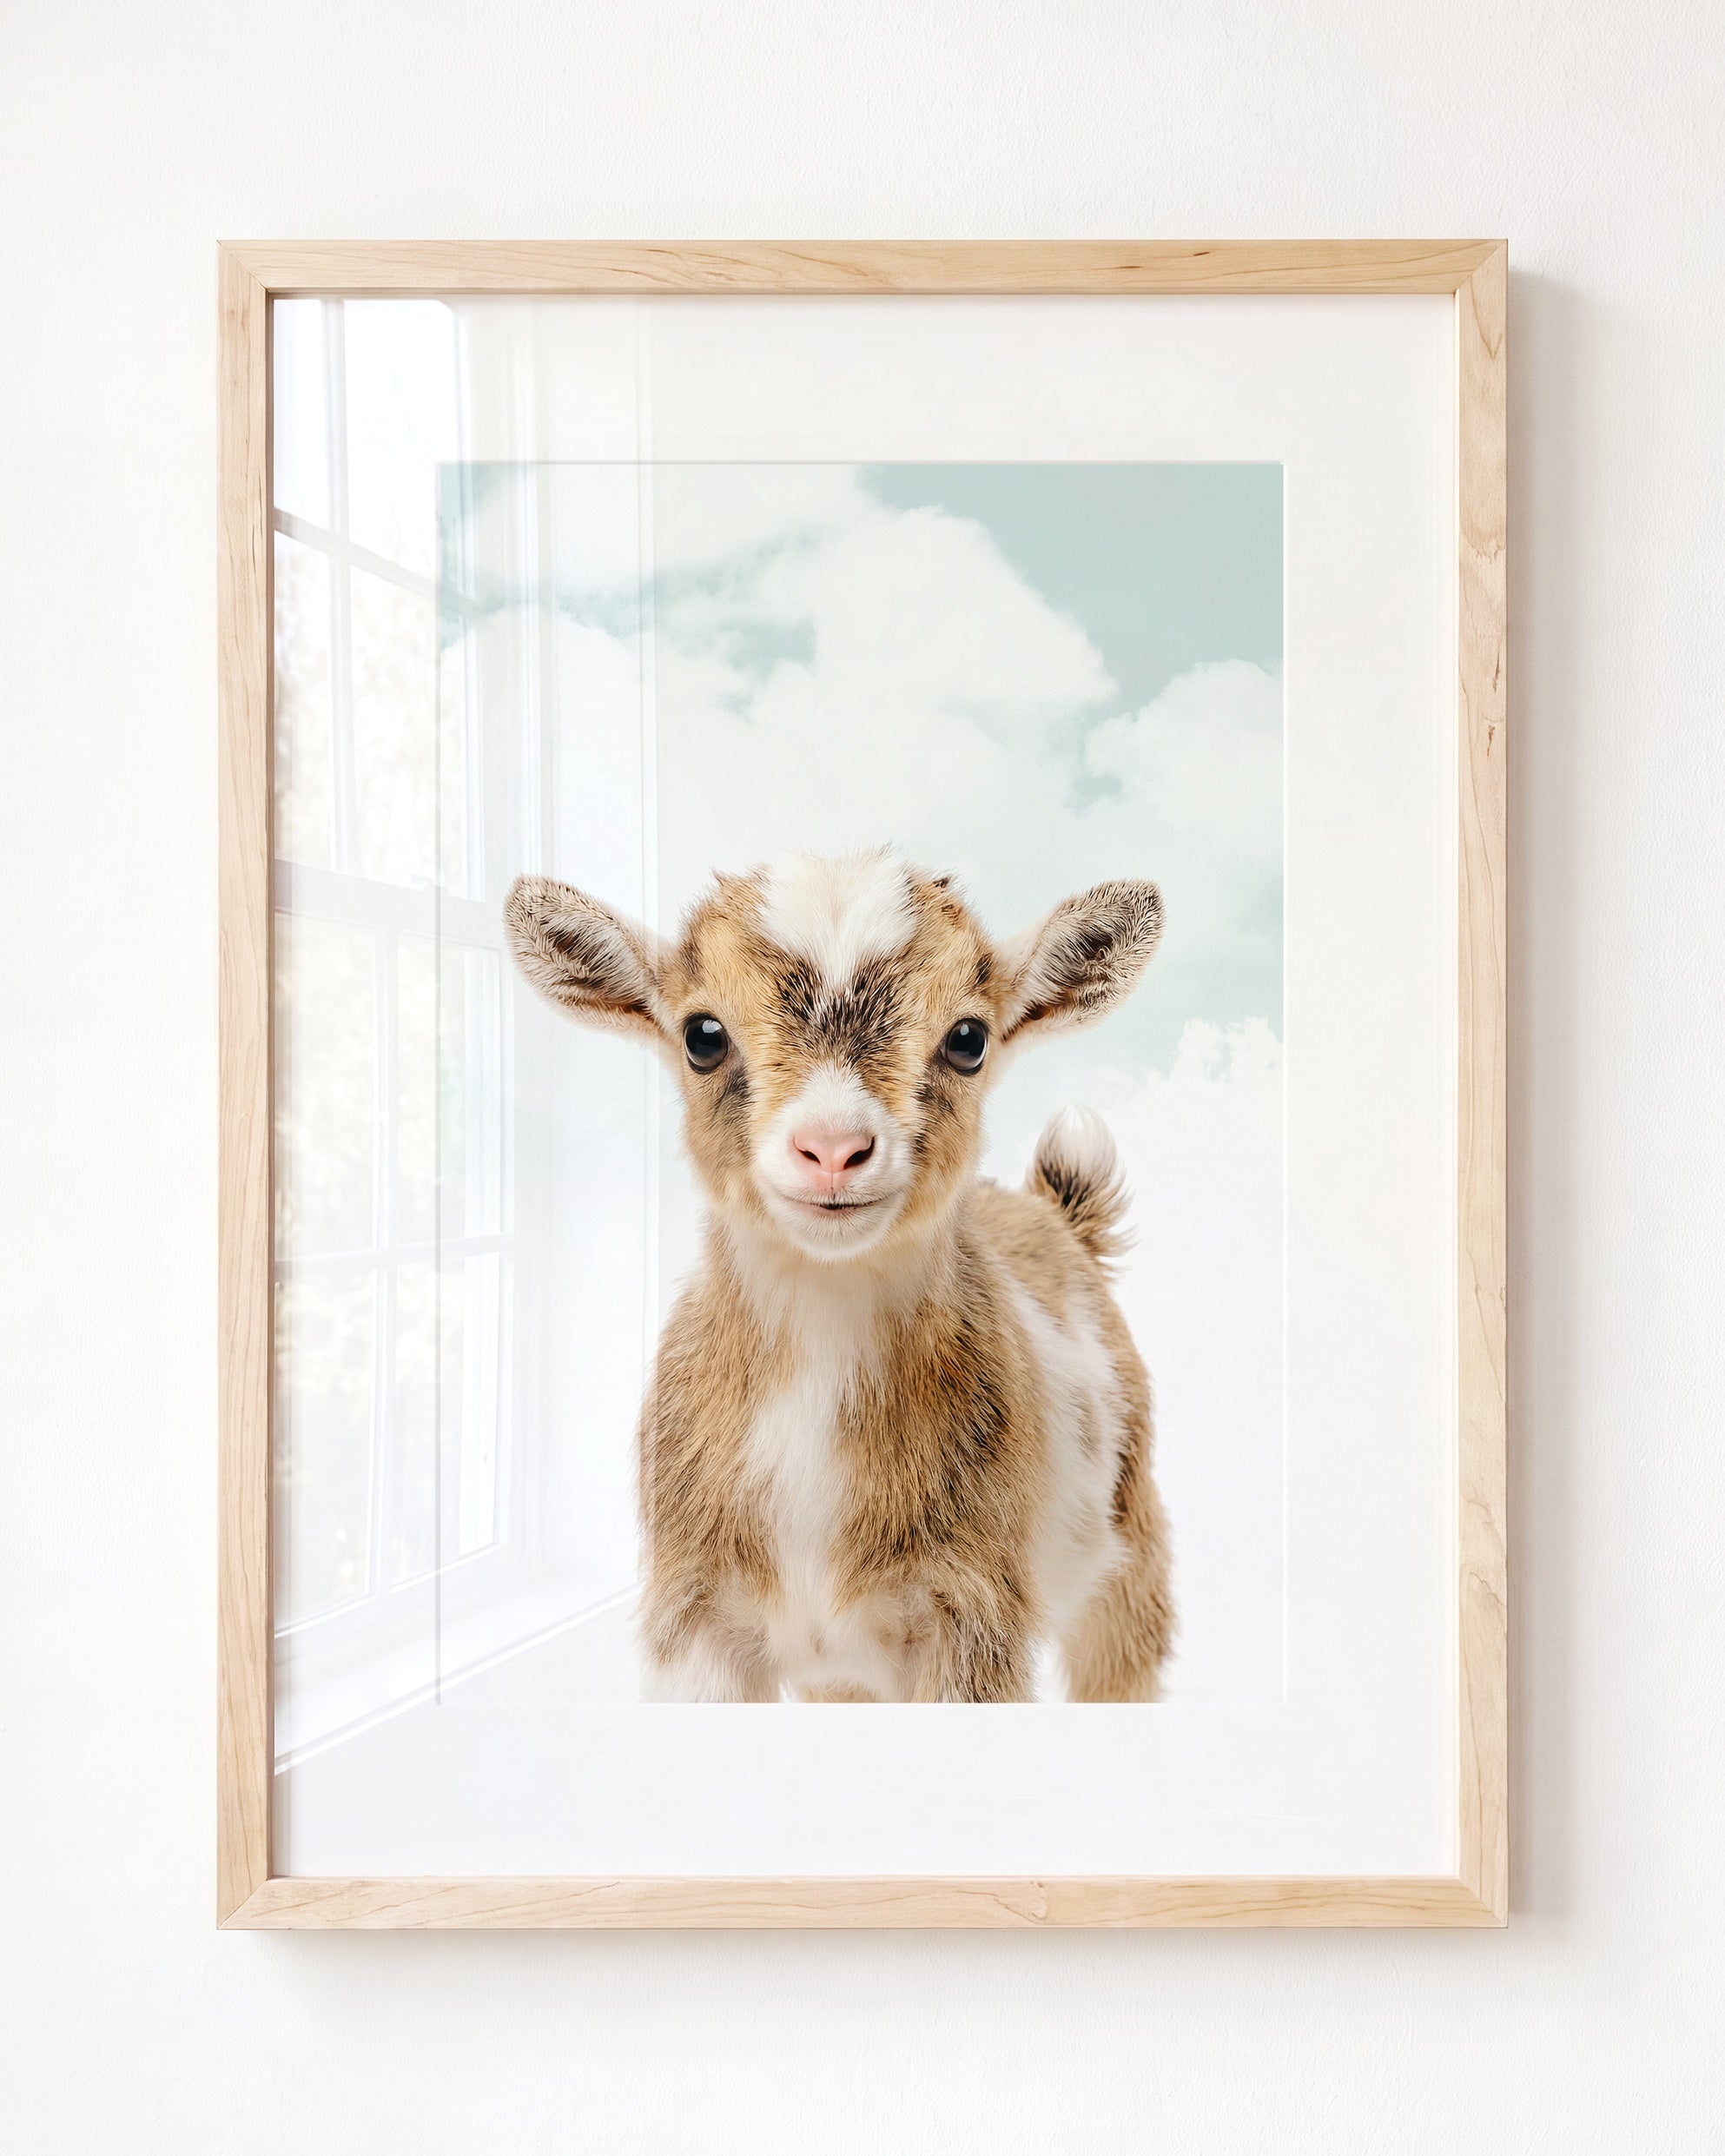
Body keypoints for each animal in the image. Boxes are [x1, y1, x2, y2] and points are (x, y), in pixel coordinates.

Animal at [504, 849, 1174, 1702]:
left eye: (968, 1038)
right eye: (702, 1035)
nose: (831, 1149)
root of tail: (1056, 1215)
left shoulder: (974, 1614)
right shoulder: (695, 1615)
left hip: (1132, 1548)